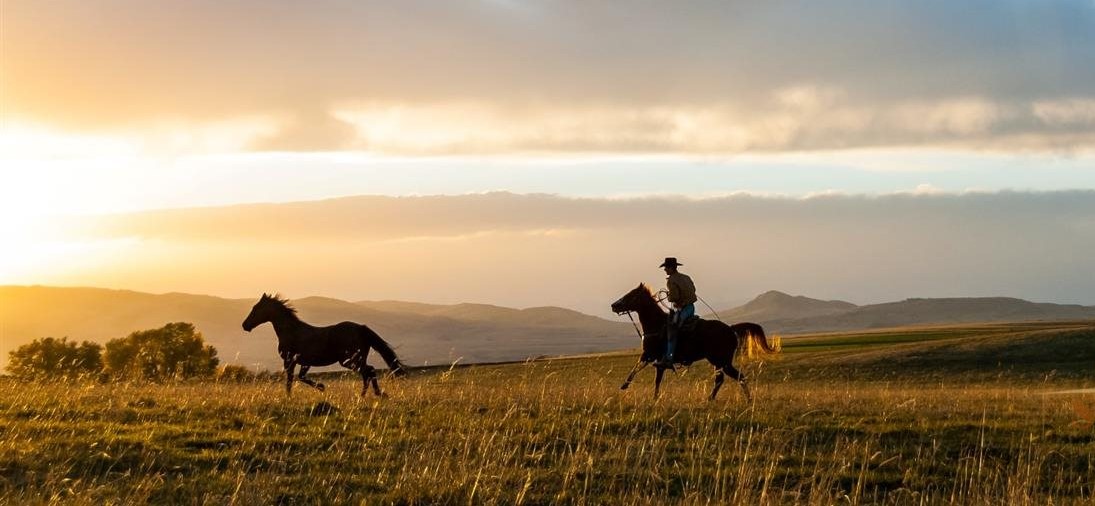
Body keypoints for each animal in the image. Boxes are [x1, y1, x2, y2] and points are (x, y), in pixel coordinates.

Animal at [242, 293, 407, 397]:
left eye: (256, 309)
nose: (245, 325)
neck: (292, 331)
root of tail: (361, 328)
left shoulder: (290, 361)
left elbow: (291, 380)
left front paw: (291, 396)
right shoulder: (304, 362)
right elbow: (301, 377)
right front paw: (321, 387)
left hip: (349, 361)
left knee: (369, 371)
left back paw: (372, 395)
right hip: (356, 360)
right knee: (368, 373)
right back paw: (371, 395)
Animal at [610, 283, 778, 401]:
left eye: (631, 295)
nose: (613, 305)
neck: (657, 324)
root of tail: (731, 329)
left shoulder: (649, 355)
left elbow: (636, 368)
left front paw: (624, 385)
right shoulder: (659, 360)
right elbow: (657, 380)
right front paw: (655, 397)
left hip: (722, 361)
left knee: (735, 377)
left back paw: (739, 399)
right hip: (719, 362)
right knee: (724, 379)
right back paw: (715, 398)